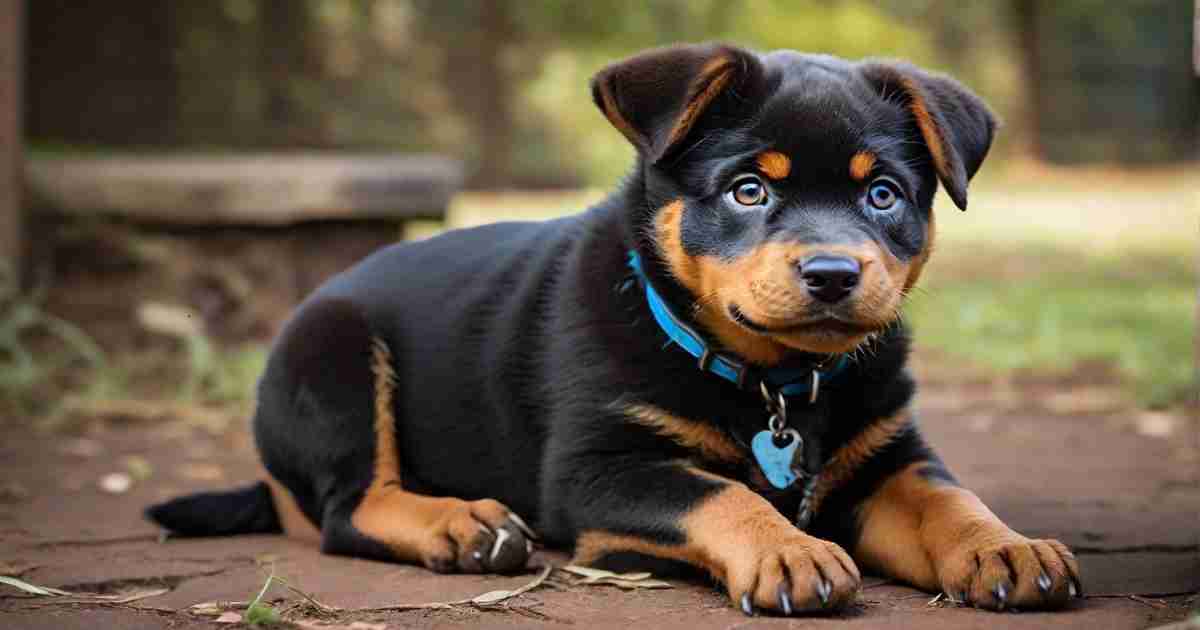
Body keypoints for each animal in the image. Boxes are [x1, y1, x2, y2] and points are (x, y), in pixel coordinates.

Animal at [147, 44, 1080, 614]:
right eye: (748, 190)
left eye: (882, 194)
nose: (833, 275)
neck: (773, 381)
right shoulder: (598, 472)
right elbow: (720, 491)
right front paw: (789, 551)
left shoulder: (887, 458)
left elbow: (949, 499)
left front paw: (1008, 549)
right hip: (336, 354)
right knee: (350, 507)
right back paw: (463, 526)